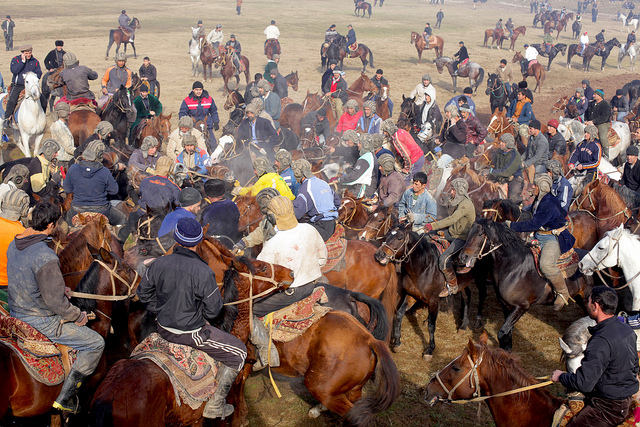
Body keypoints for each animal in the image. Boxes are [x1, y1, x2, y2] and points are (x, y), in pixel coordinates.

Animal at [376, 224, 470, 362]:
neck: (424, 267)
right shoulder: (412, 295)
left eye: (400, 238)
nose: (379, 254)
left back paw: (463, 326)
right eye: (387, 235)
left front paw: (429, 350)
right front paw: (397, 342)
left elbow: (432, 325)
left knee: (468, 298)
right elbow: (399, 314)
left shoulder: (433, 300)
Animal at [458, 221, 592, 352]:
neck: (513, 267)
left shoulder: (521, 307)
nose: (462, 257)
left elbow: (502, 332)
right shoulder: (506, 305)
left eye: (480, 234)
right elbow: (508, 333)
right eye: (468, 233)